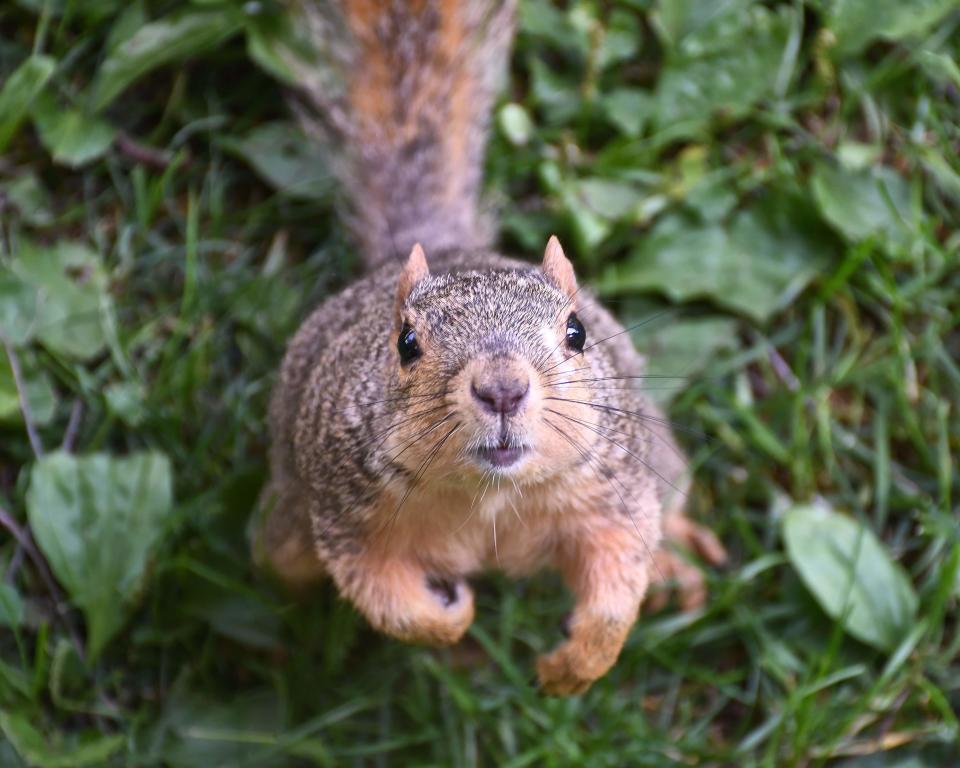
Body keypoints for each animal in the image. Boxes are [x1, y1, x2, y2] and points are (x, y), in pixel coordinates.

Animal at [255, 0, 728, 696]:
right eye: (406, 342)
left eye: (576, 331)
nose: (503, 388)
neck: (491, 499)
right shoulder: (349, 516)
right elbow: (383, 595)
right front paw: (449, 620)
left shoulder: (611, 493)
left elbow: (618, 576)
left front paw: (574, 666)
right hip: (290, 526)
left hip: (660, 453)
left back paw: (676, 558)